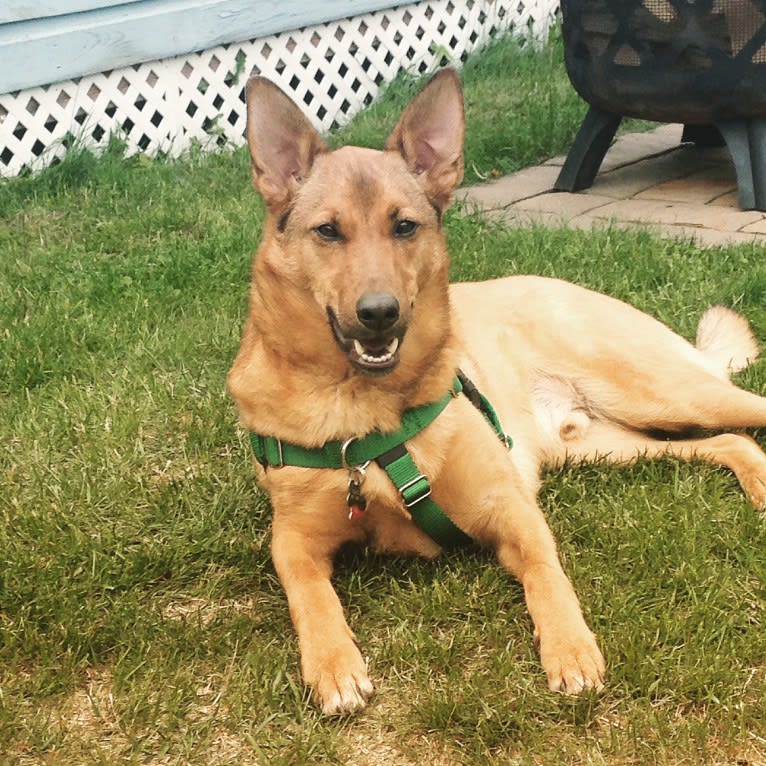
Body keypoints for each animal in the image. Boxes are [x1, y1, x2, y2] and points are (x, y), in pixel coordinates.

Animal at [228, 67, 766, 720]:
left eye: (404, 226)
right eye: (328, 231)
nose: (379, 314)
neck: (368, 410)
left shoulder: (510, 508)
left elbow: (547, 573)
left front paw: (570, 647)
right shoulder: (294, 540)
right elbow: (309, 595)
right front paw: (333, 665)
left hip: (666, 392)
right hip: (607, 444)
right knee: (732, 441)